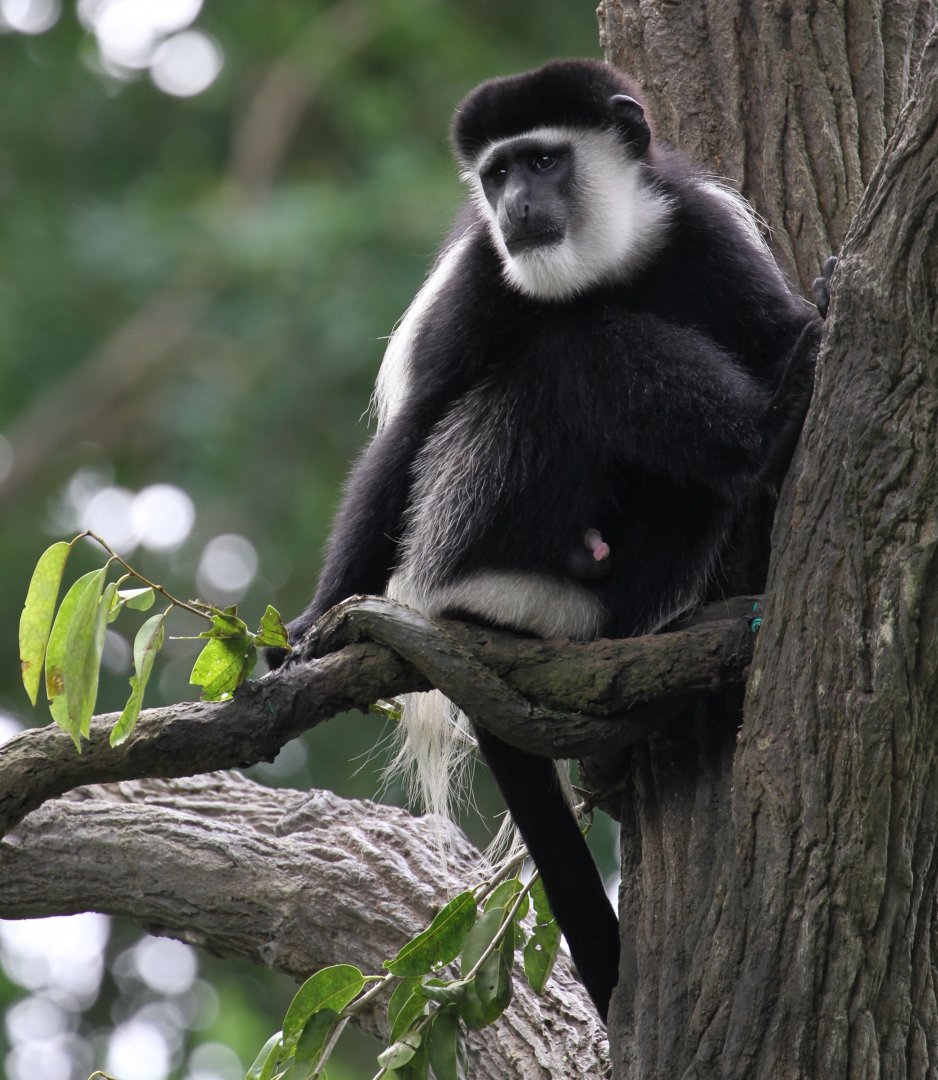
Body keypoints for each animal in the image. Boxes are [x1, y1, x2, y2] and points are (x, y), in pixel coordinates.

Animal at [269, 59, 830, 1022]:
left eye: (541, 160)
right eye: (496, 175)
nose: (516, 206)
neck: (601, 262)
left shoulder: (707, 232)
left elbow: (765, 327)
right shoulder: (482, 276)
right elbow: (416, 424)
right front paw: (314, 624)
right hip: (464, 524)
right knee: (572, 353)